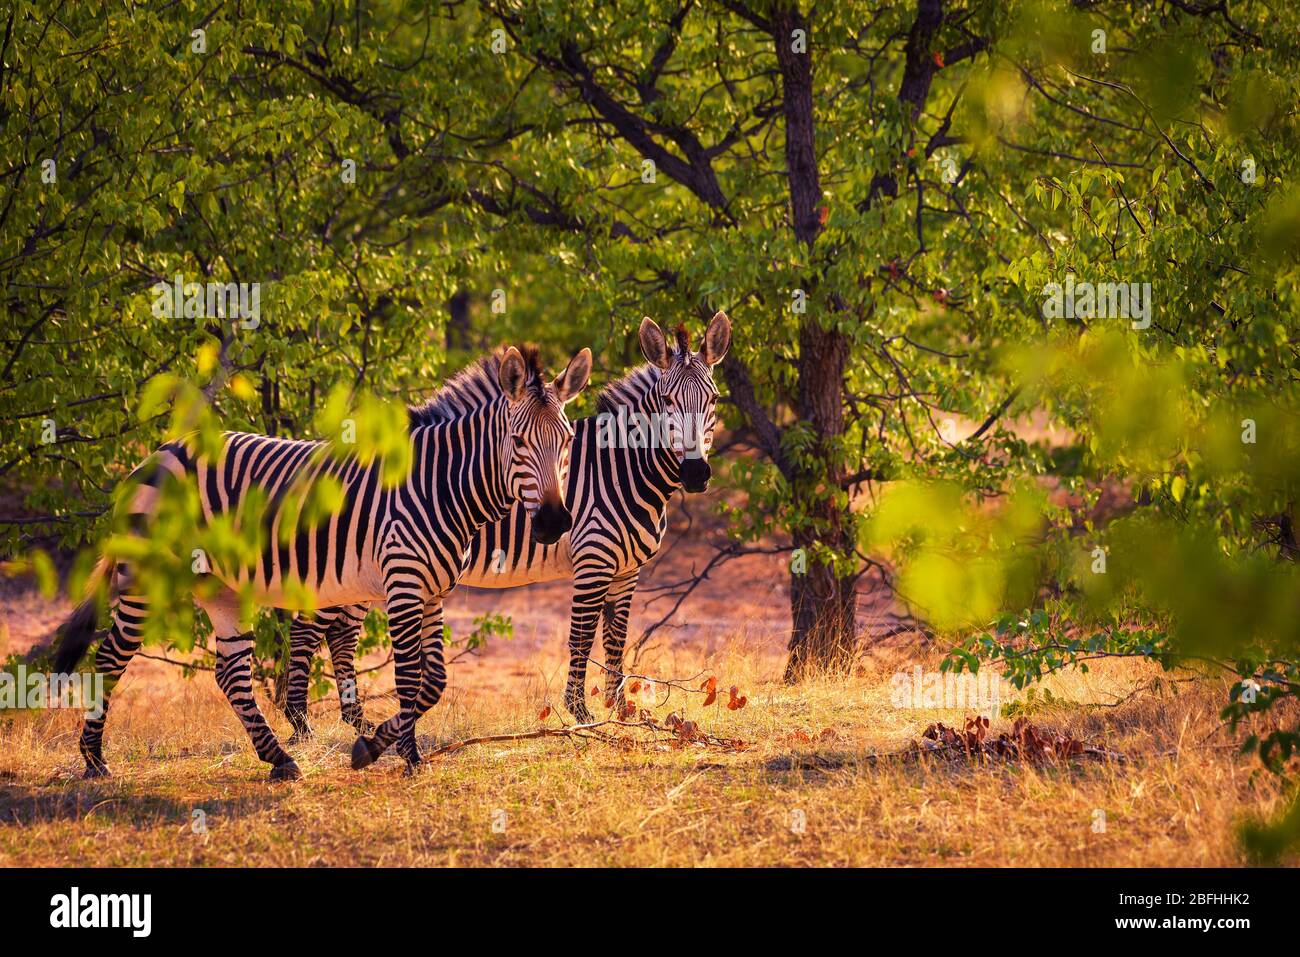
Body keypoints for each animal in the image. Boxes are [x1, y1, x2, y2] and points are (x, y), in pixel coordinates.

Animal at [54, 343, 595, 780]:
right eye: (519, 443)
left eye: (569, 441)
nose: (553, 522)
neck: (441, 485)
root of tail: (155, 454)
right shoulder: (403, 585)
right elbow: (410, 679)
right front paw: (392, 754)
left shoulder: (434, 591)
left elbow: (435, 681)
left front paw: (387, 747)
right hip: (146, 579)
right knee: (109, 659)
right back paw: (94, 760)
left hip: (223, 588)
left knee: (231, 674)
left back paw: (279, 760)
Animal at [282, 310, 733, 728]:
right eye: (669, 402)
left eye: (713, 401)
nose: (696, 473)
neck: (621, 468)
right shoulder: (593, 560)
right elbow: (582, 636)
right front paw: (580, 712)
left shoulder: (627, 569)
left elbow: (617, 637)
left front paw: (620, 710)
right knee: (309, 629)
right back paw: (300, 722)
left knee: (341, 633)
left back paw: (355, 720)